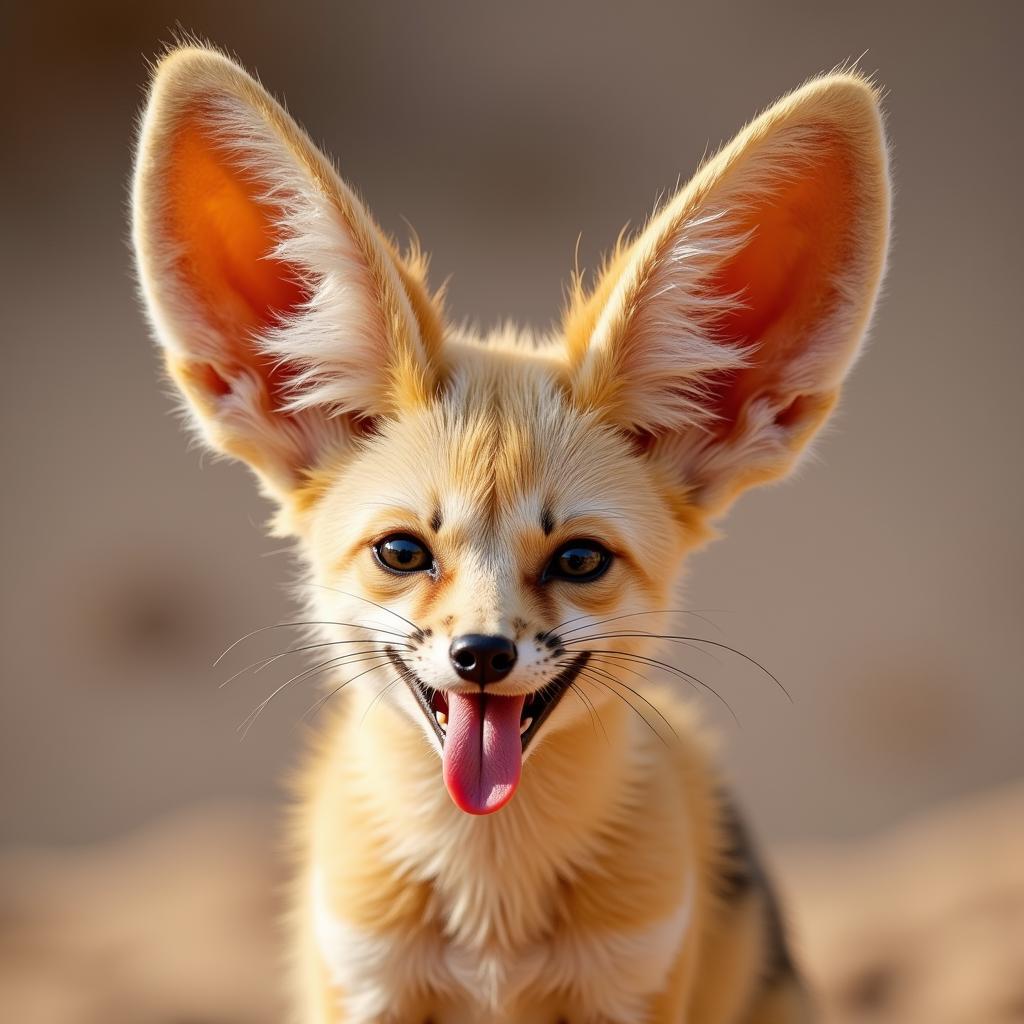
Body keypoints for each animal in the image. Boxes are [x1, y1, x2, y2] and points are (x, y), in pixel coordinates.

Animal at [132, 46, 888, 1024]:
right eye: (402, 552)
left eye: (579, 559)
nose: (482, 654)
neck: (490, 929)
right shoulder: (364, 980)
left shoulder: (634, 982)